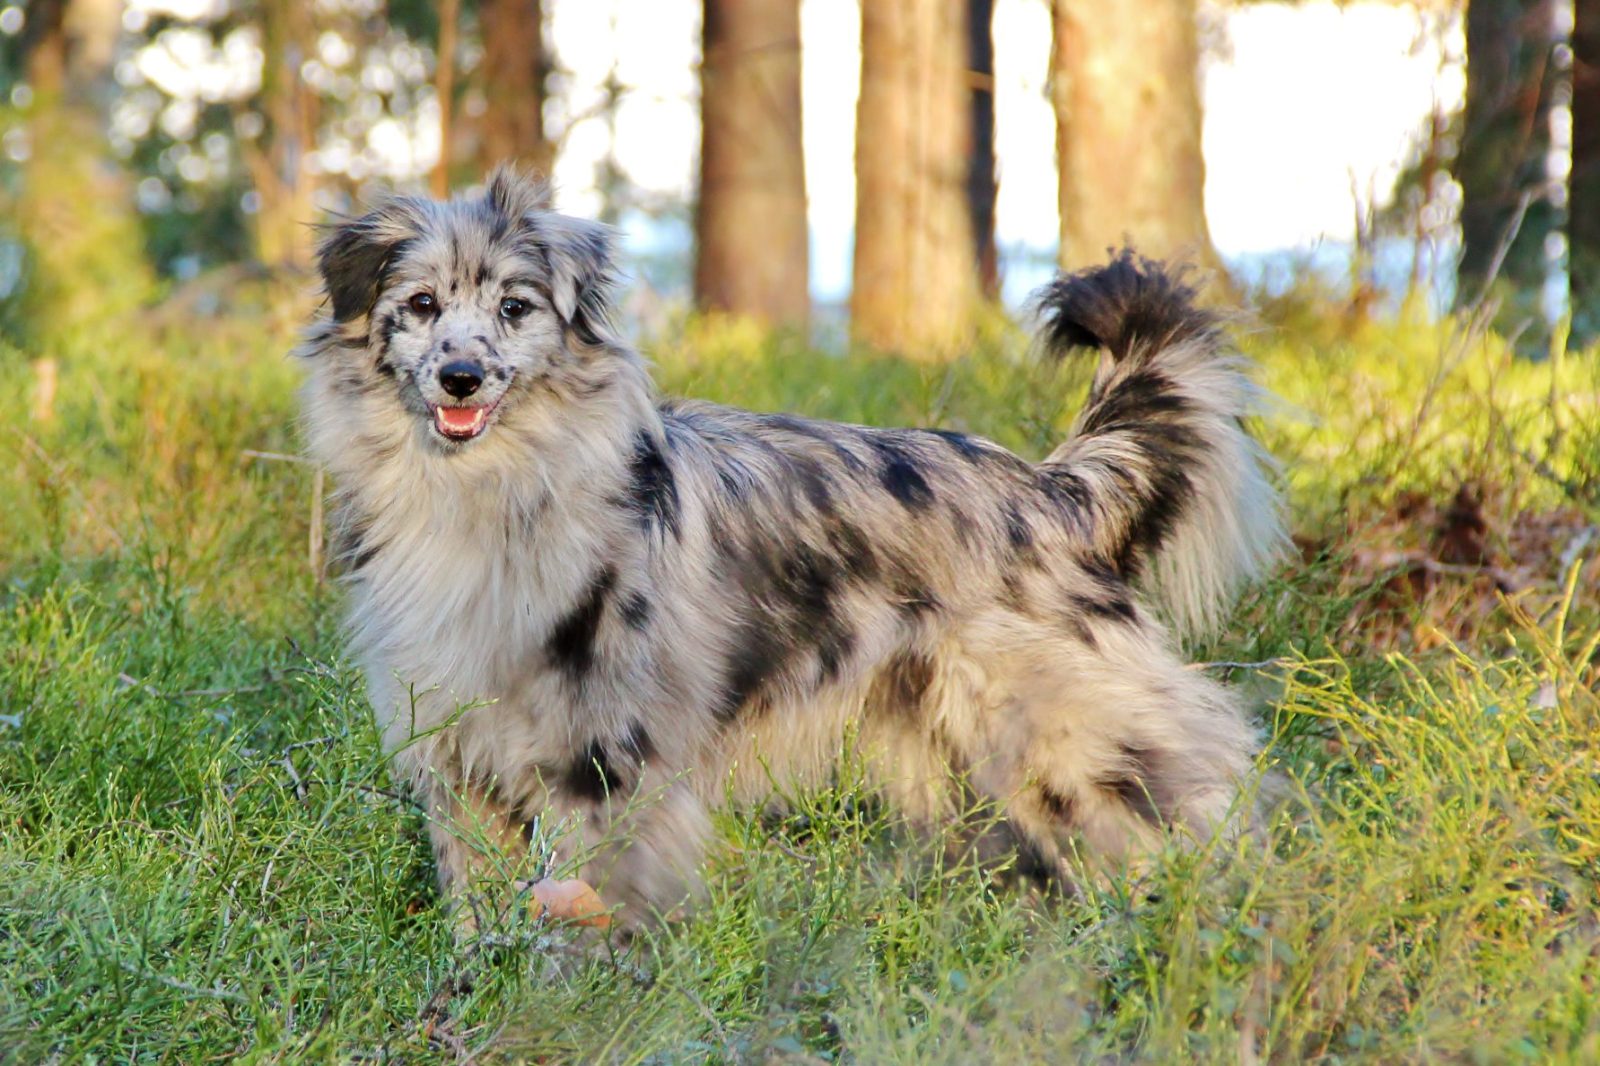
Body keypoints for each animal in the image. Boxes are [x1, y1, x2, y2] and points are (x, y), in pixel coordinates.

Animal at [294, 168, 1280, 928]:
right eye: (421, 306)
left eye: (514, 307)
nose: (461, 377)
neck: (486, 497)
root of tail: (1048, 490)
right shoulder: (458, 754)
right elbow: (480, 907)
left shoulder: (604, 756)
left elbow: (584, 906)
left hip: (1074, 734)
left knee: (1194, 819)